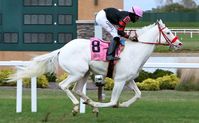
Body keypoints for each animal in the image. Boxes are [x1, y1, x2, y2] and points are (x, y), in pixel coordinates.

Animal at [9, 19, 183, 115]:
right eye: (168, 32)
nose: (180, 44)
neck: (134, 51)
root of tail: (62, 49)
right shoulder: (120, 80)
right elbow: (112, 102)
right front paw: (100, 105)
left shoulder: (128, 79)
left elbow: (138, 94)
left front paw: (122, 104)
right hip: (77, 72)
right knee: (64, 86)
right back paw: (77, 106)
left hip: (85, 73)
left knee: (78, 89)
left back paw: (88, 103)